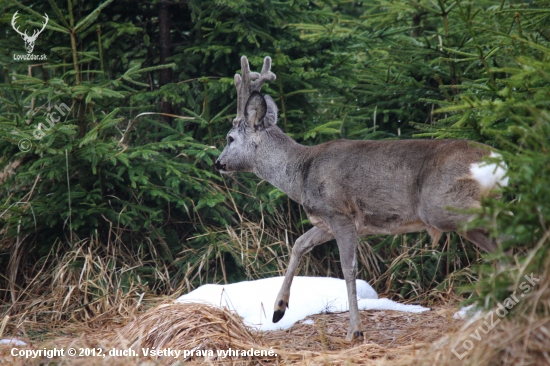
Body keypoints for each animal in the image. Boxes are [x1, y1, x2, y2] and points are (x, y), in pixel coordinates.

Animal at [215, 55, 508, 342]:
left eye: (230, 138)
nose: (218, 163)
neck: (301, 173)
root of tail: (499, 161)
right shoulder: (327, 220)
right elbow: (299, 244)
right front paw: (278, 309)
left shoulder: (339, 212)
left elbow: (348, 268)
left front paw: (355, 330)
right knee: (499, 248)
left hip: (440, 206)